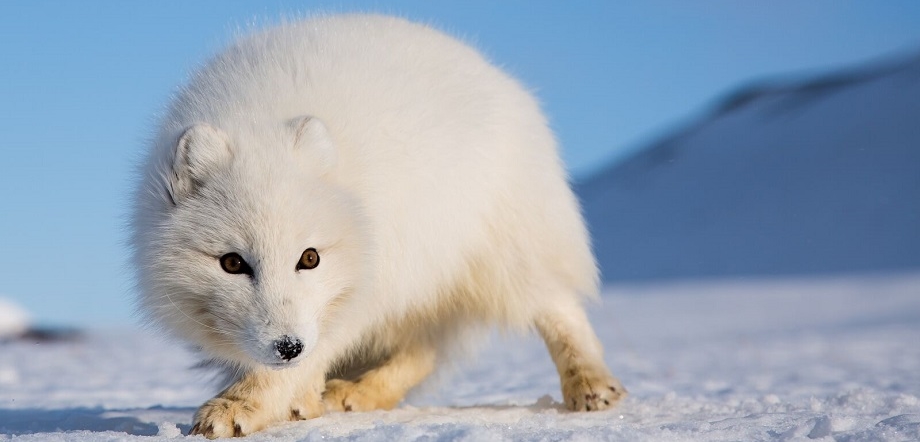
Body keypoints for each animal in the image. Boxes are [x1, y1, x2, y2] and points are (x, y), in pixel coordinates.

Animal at [133, 13, 624, 438]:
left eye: (309, 258)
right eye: (232, 263)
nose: (287, 346)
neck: (257, 121)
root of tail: (496, 74)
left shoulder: (359, 291)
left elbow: (303, 360)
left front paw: (239, 406)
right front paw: (295, 403)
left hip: (500, 251)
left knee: (557, 305)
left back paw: (591, 385)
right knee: (425, 348)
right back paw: (357, 393)